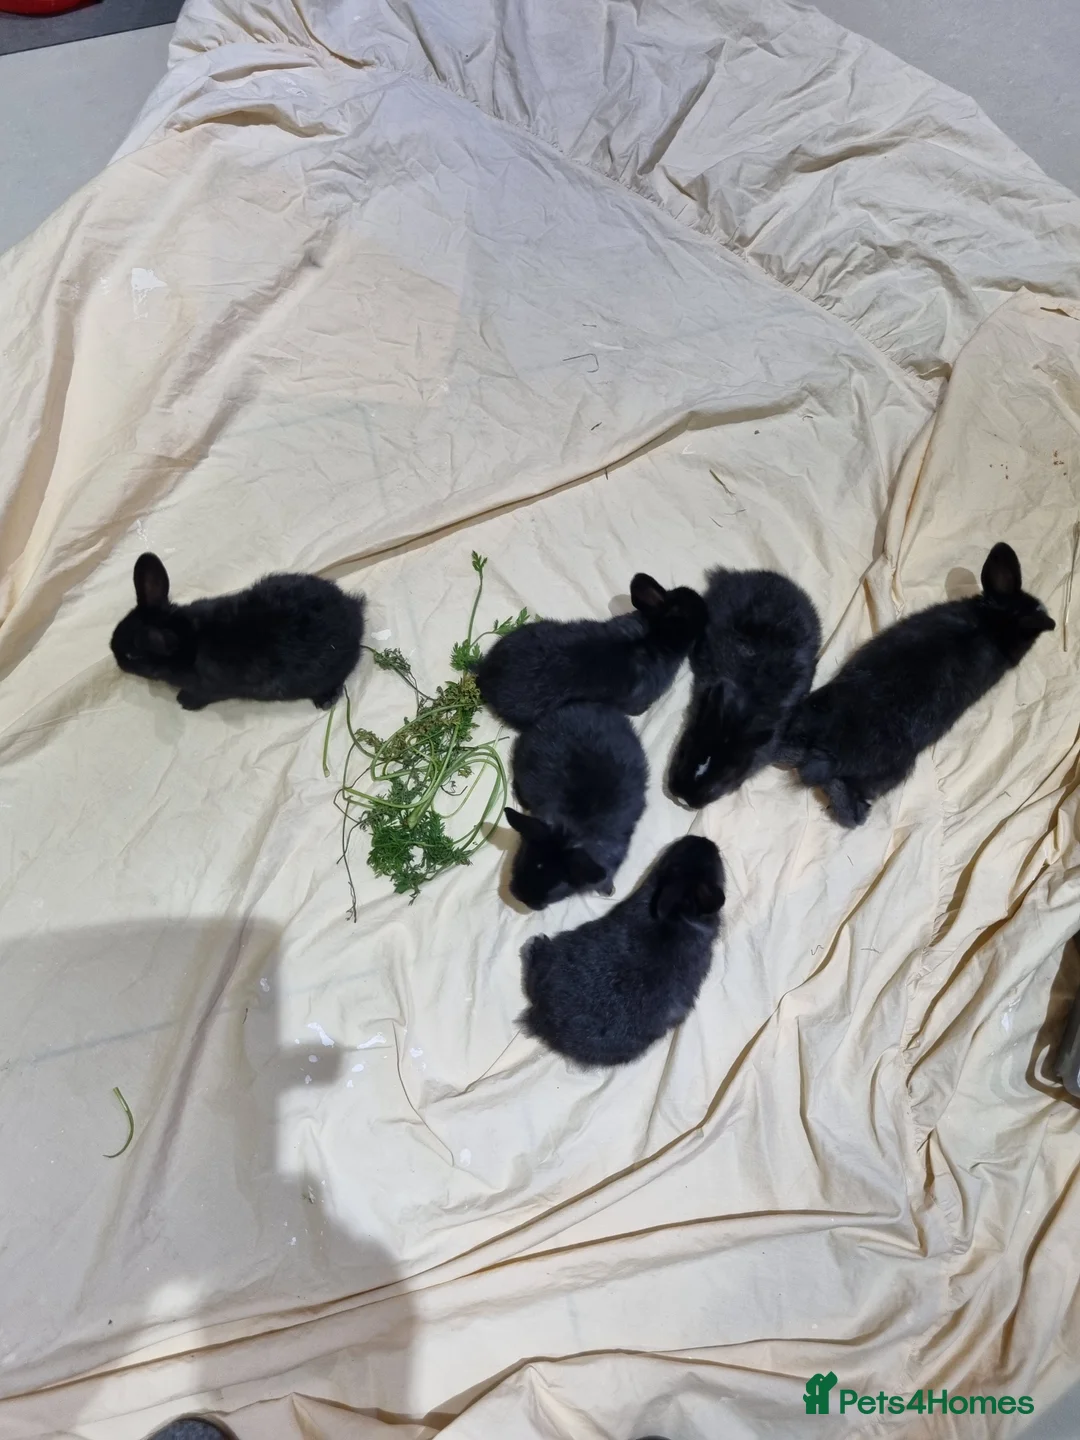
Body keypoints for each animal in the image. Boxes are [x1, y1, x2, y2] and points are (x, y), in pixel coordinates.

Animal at [110, 552, 365, 711]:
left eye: (132, 656)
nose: (114, 655)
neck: (188, 640)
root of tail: (354, 610)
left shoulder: (209, 688)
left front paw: (184, 701)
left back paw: (325, 699)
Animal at [520, 834, 725, 1066]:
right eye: (710, 865)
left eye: (673, 863)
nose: (702, 840)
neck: (678, 916)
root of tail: (541, 1016)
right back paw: (535, 942)